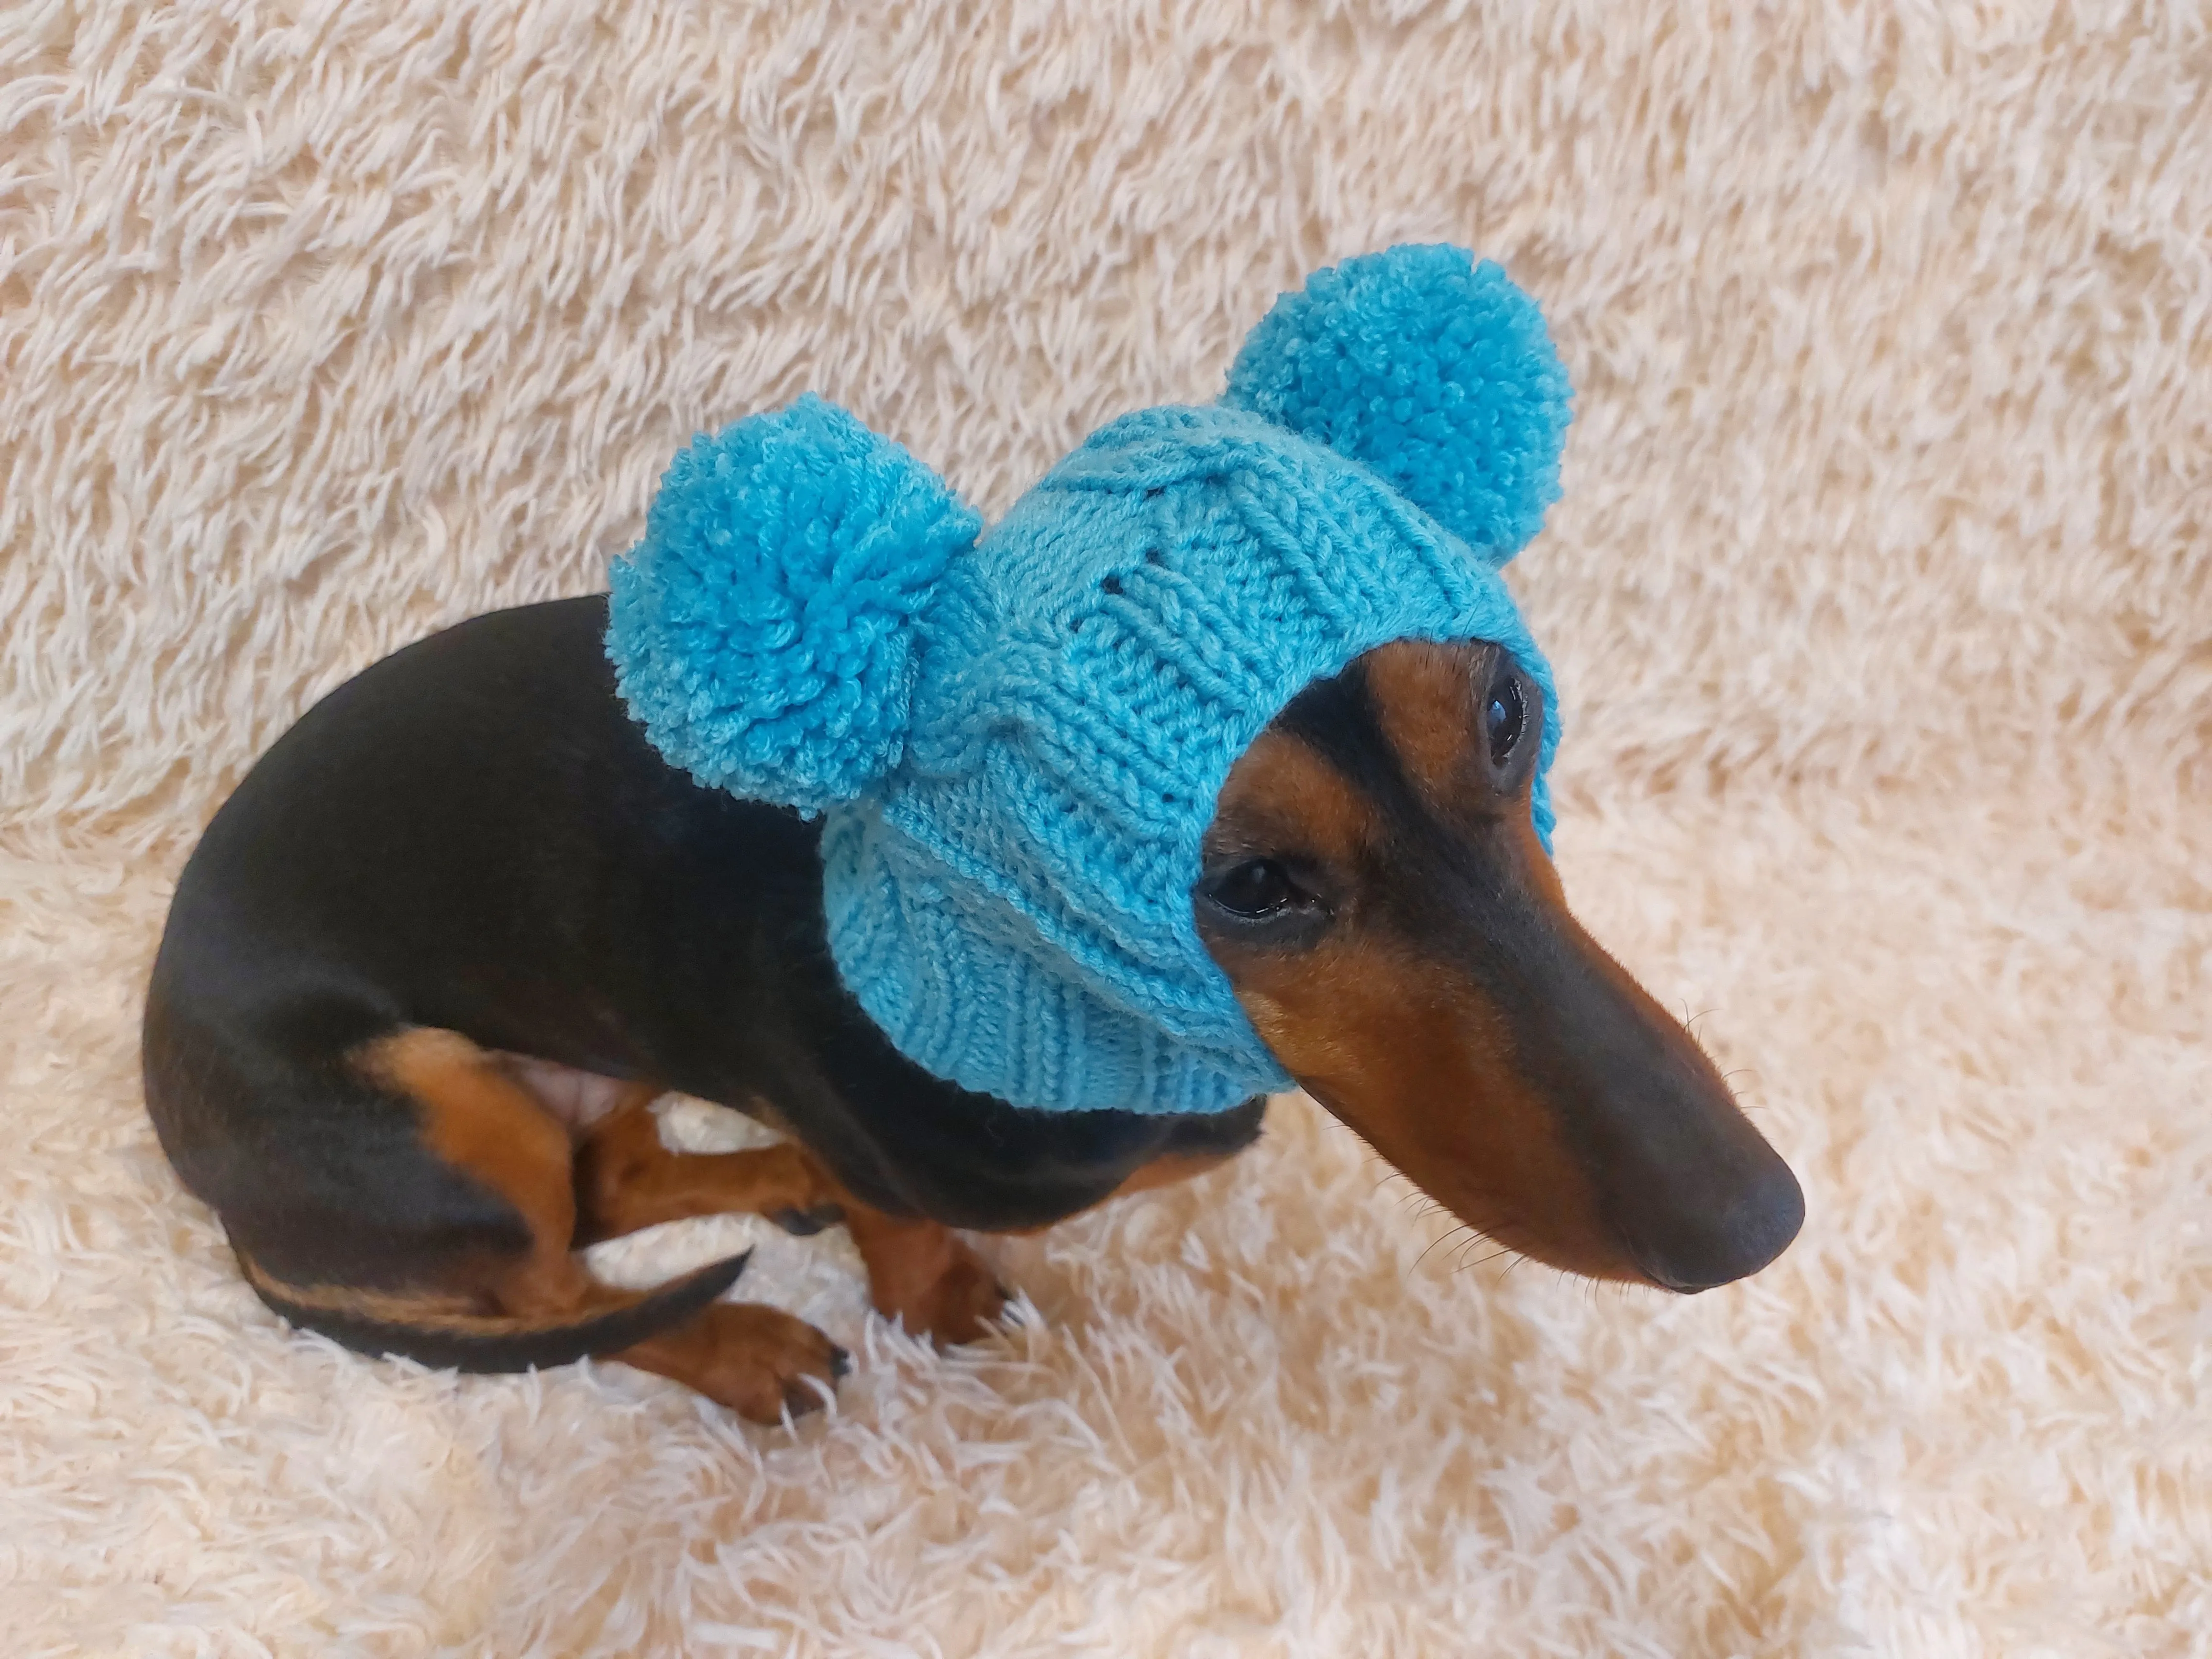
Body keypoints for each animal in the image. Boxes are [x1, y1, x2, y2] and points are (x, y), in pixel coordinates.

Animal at [138, 250, 1805, 1433]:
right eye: (1253, 887)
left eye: (1506, 714)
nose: (1758, 1219)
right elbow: (893, 1229)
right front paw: (931, 1296)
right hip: (434, 1101)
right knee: (558, 1293)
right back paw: (741, 1337)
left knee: (604, 1186)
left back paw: (767, 1176)